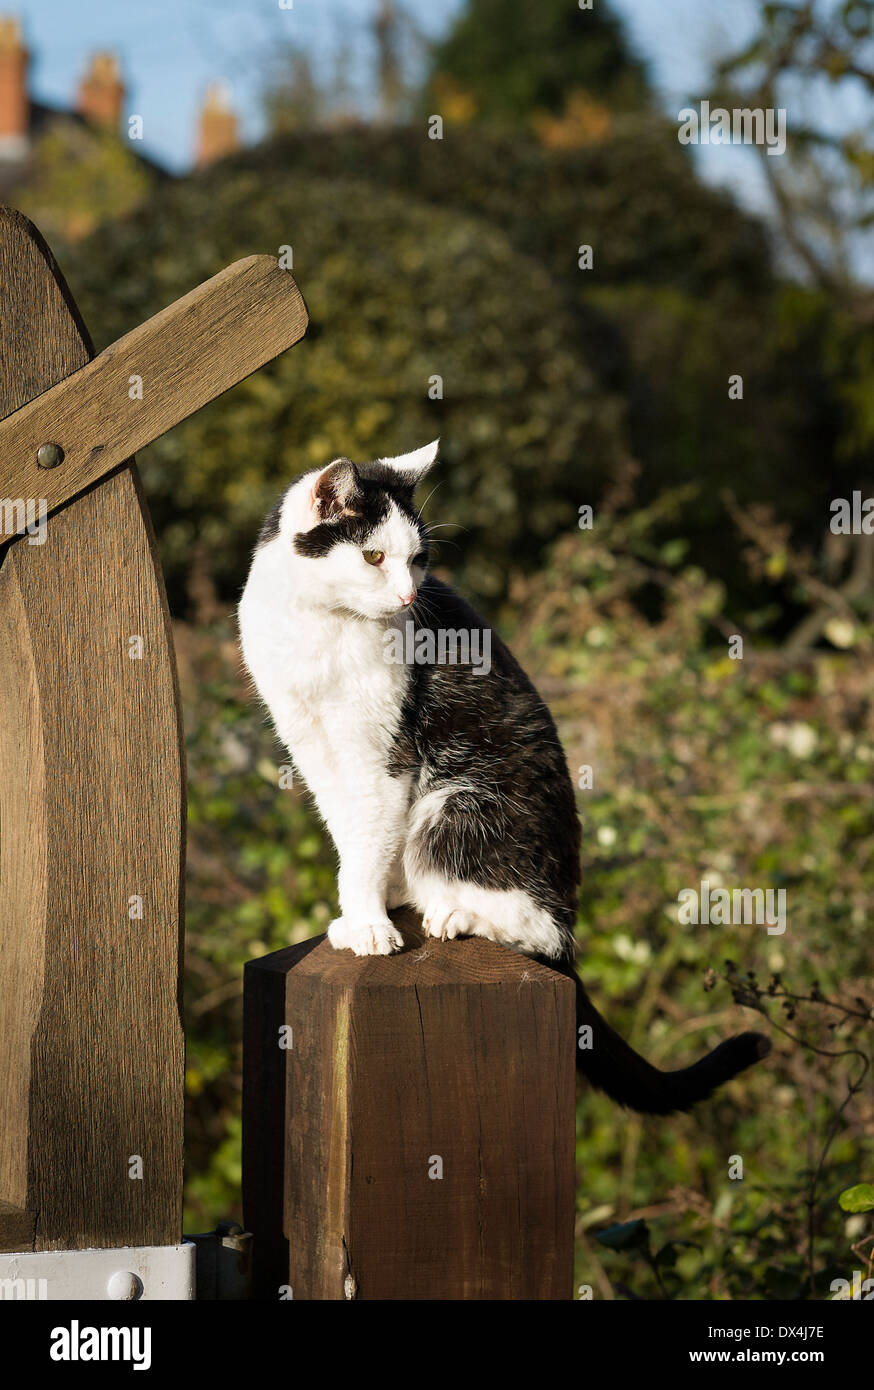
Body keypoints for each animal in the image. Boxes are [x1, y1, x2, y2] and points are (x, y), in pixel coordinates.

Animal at [236, 439, 761, 1112]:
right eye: (374, 556)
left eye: (418, 559)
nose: (407, 599)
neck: (322, 625)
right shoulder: (312, 747)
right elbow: (351, 836)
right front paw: (363, 908)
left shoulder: (385, 757)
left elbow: (368, 835)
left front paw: (369, 924)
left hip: (455, 806)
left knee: (541, 932)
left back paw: (457, 915)